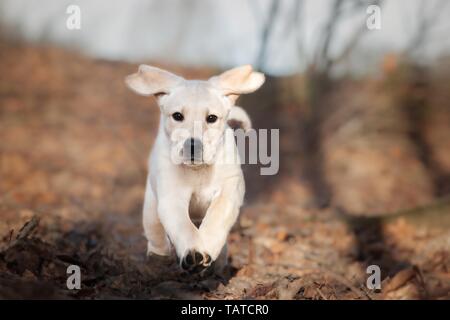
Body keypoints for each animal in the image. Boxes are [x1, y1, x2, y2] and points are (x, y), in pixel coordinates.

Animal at [125, 64, 264, 272]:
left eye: (212, 118)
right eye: (177, 116)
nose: (193, 146)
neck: (199, 171)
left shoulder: (229, 190)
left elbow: (216, 217)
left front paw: (207, 247)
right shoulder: (172, 196)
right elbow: (183, 225)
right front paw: (193, 251)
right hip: (150, 206)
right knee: (155, 232)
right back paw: (158, 257)